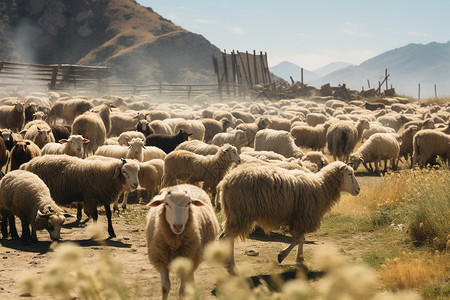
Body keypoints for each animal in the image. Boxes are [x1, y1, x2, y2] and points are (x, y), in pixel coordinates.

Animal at [216, 162, 360, 274]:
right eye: (349, 174)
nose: (358, 190)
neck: (321, 187)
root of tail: (226, 181)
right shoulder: (304, 216)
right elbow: (299, 239)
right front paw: (282, 256)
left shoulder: (301, 217)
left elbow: (301, 239)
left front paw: (300, 260)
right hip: (241, 212)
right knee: (227, 238)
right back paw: (232, 268)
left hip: (234, 213)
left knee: (227, 238)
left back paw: (229, 265)